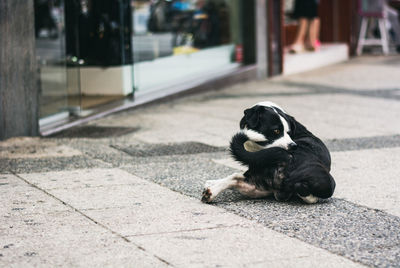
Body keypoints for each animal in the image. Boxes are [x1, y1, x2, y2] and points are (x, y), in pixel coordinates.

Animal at [202, 101, 336, 204]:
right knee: (236, 178)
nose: (293, 146)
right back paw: (211, 192)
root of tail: (288, 157)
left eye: (289, 132)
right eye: (276, 131)